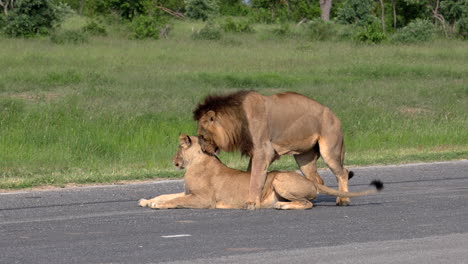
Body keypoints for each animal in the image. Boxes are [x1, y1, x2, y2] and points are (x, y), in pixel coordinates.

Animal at [137, 135, 382, 209]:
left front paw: (157, 205)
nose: (173, 161)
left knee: (307, 203)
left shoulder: (203, 199)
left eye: (178, 148)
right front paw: (147, 200)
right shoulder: (189, 192)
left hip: (280, 179)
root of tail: (313, 183)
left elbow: (175, 200)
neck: (197, 161)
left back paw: (283, 206)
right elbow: (167, 194)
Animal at [191, 89, 352, 209]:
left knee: (342, 172)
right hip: (304, 158)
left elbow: (255, 178)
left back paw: (343, 200)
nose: (204, 150)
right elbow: (250, 176)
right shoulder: (254, 153)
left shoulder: (263, 151)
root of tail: (334, 115)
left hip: (329, 150)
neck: (238, 120)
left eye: (202, 136)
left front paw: (252, 202)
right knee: (317, 179)